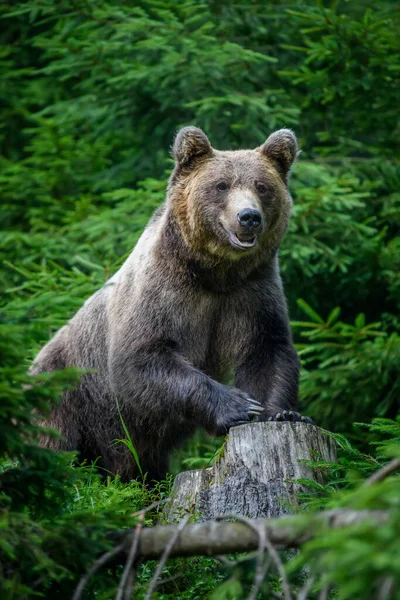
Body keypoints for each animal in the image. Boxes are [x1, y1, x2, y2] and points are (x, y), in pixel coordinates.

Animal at [31, 127, 308, 482]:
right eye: (221, 185)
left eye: (262, 186)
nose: (249, 217)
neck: (215, 273)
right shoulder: (163, 292)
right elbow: (142, 357)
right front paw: (238, 405)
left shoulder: (252, 293)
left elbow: (267, 350)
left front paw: (280, 413)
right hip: (66, 395)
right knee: (53, 443)